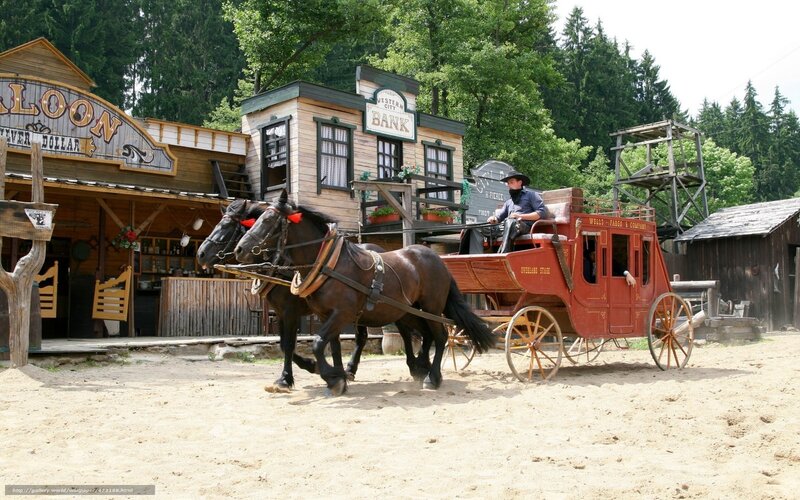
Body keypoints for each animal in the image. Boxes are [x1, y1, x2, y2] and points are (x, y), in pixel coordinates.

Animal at [196, 199, 380, 391]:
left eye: (226, 226)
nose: (200, 254)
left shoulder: (291, 311)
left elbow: (289, 345)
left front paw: (292, 376)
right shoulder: (280, 312)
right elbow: (284, 344)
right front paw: (308, 368)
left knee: (361, 337)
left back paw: (350, 369)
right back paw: (349, 370)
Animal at [233, 189, 495, 395]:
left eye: (268, 220)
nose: (239, 249)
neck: (329, 263)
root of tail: (438, 259)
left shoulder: (339, 313)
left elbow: (316, 343)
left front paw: (329, 377)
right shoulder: (324, 315)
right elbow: (331, 346)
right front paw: (338, 377)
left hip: (431, 306)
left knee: (439, 337)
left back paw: (433, 377)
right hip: (407, 310)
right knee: (425, 335)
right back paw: (420, 367)